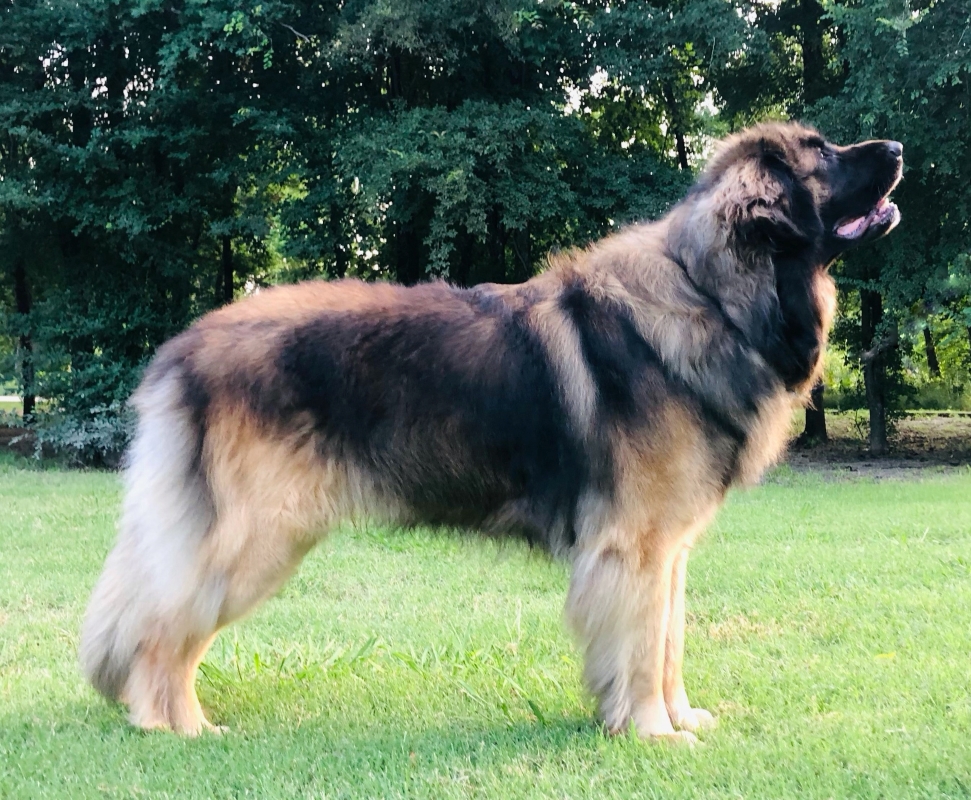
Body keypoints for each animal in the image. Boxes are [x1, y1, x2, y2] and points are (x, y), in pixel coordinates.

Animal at [80, 122, 902, 741]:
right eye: (822, 154)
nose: (896, 148)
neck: (713, 294)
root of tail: (183, 349)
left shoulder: (667, 548)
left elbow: (667, 641)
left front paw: (677, 717)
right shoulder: (632, 546)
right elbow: (640, 647)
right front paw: (649, 730)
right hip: (258, 538)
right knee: (162, 632)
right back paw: (177, 726)